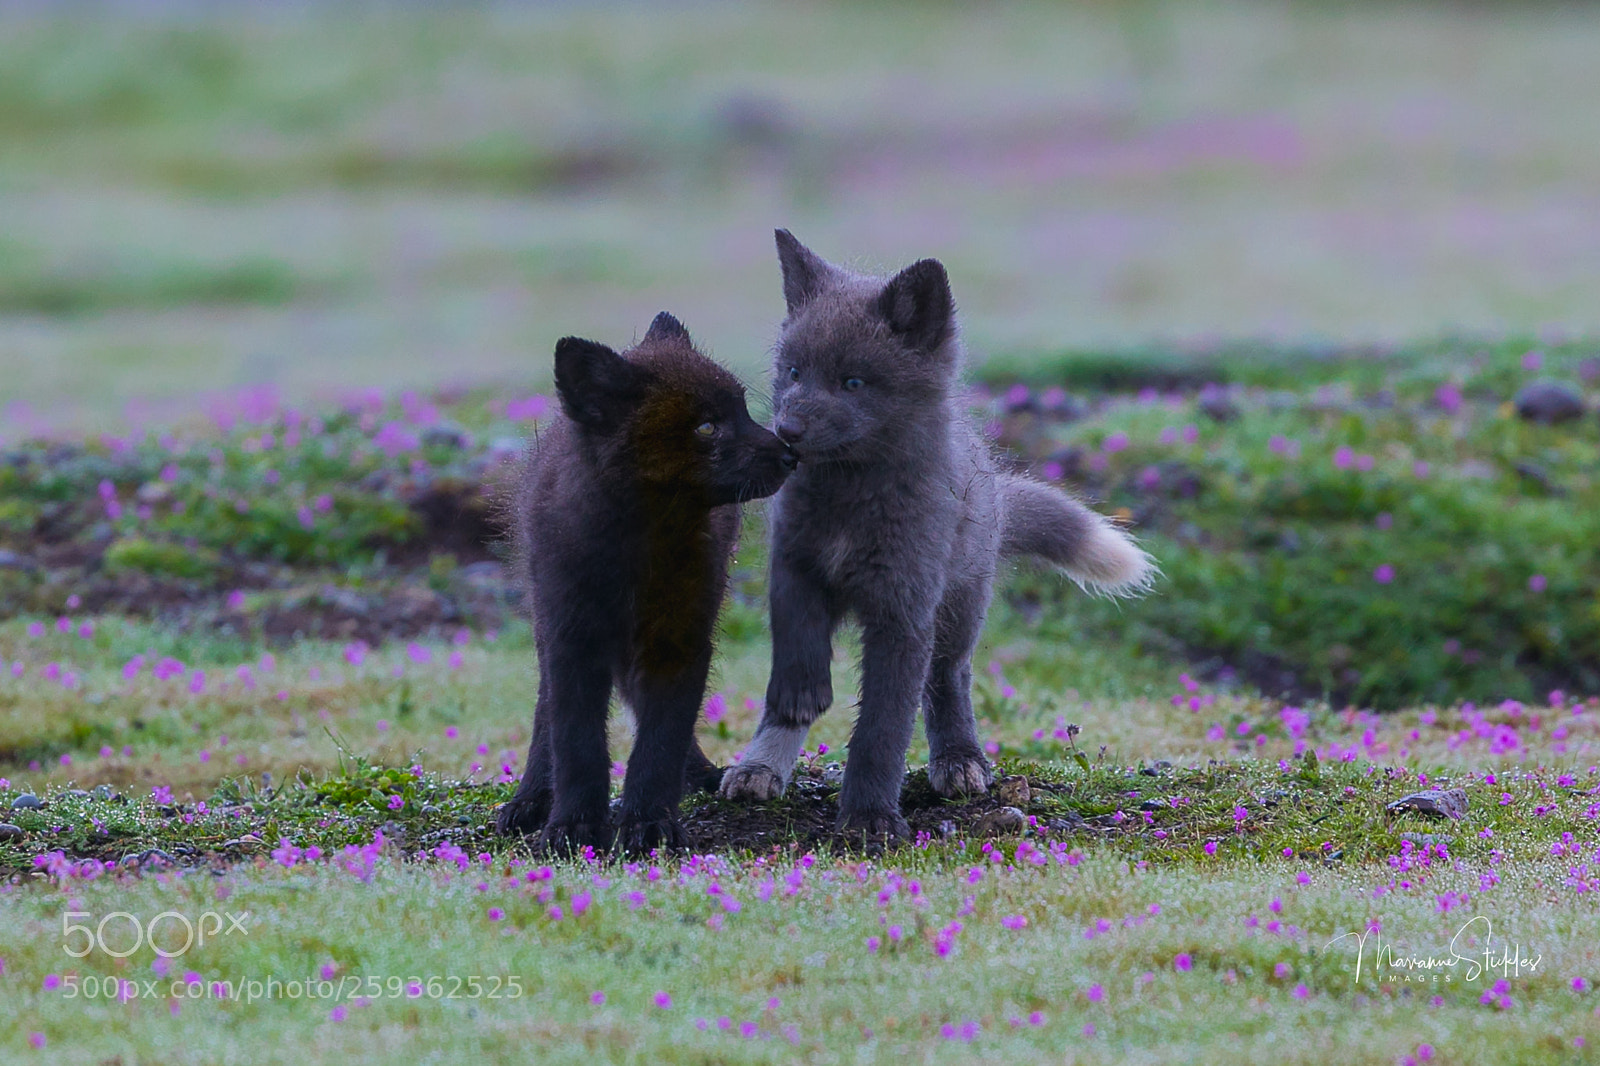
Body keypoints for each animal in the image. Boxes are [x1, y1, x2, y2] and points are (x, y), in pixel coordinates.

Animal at [495, 312, 795, 854]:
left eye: (742, 410)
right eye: (706, 426)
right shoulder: (572, 638)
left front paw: (650, 823)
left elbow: (660, 740)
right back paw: (531, 799)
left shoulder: (679, 641)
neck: (642, 541)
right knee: (546, 712)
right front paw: (572, 827)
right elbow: (576, 741)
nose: (790, 454)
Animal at [719, 231, 1155, 841]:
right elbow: (794, 652)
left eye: (853, 382)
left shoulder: (905, 611)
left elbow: (883, 729)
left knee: (948, 679)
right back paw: (759, 767)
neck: (851, 506)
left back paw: (959, 760)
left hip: (957, 613)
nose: (786, 432)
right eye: (794, 372)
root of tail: (992, 490)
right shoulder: (795, 564)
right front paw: (801, 696)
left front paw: (870, 819)